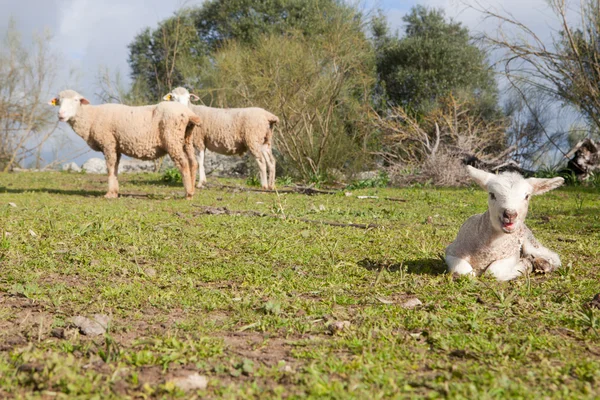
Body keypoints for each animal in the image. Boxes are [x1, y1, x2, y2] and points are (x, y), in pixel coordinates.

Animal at [48, 89, 200, 198]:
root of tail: (188, 113)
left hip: (172, 138)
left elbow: (109, 167)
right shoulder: (116, 146)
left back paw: (188, 193)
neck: (91, 117)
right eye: (59, 101)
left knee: (183, 163)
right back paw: (192, 190)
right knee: (193, 162)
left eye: (75, 100)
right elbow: (115, 168)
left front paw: (109, 194)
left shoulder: (108, 143)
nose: (61, 114)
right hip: (186, 139)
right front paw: (115, 192)